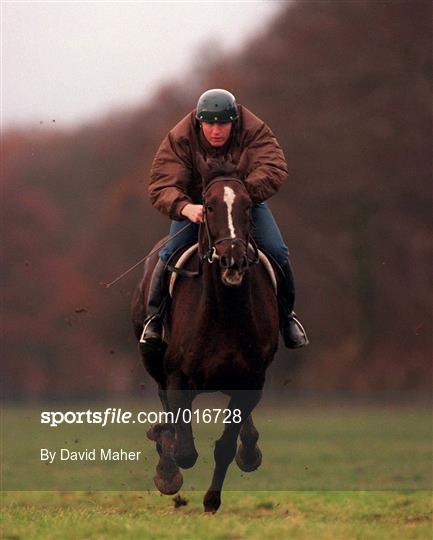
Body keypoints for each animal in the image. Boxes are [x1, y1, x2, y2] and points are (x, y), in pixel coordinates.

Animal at [132, 155, 278, 510]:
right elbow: (184, 450)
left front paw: (212, 499)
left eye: (248, 205)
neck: (224, 313)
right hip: (155, 363)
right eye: (209, 207)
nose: (232, 259)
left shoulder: (251, 380)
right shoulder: (176, 376)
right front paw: (167, 470)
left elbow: (225, 444)